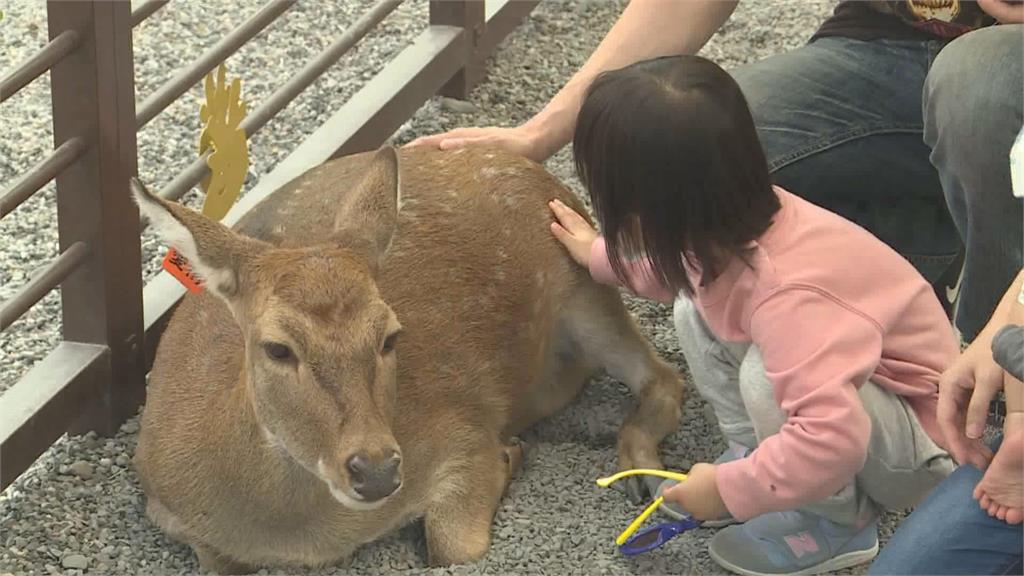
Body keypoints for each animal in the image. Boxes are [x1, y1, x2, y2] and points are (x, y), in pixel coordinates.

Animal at [130, 142, 688, 569]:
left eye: (390, 336)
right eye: (277, 347)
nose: (375, 471)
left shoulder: (460, 431)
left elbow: (454, 545)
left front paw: (509, 456)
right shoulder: (166, 508)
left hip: (586, 287)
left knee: (663, 374)